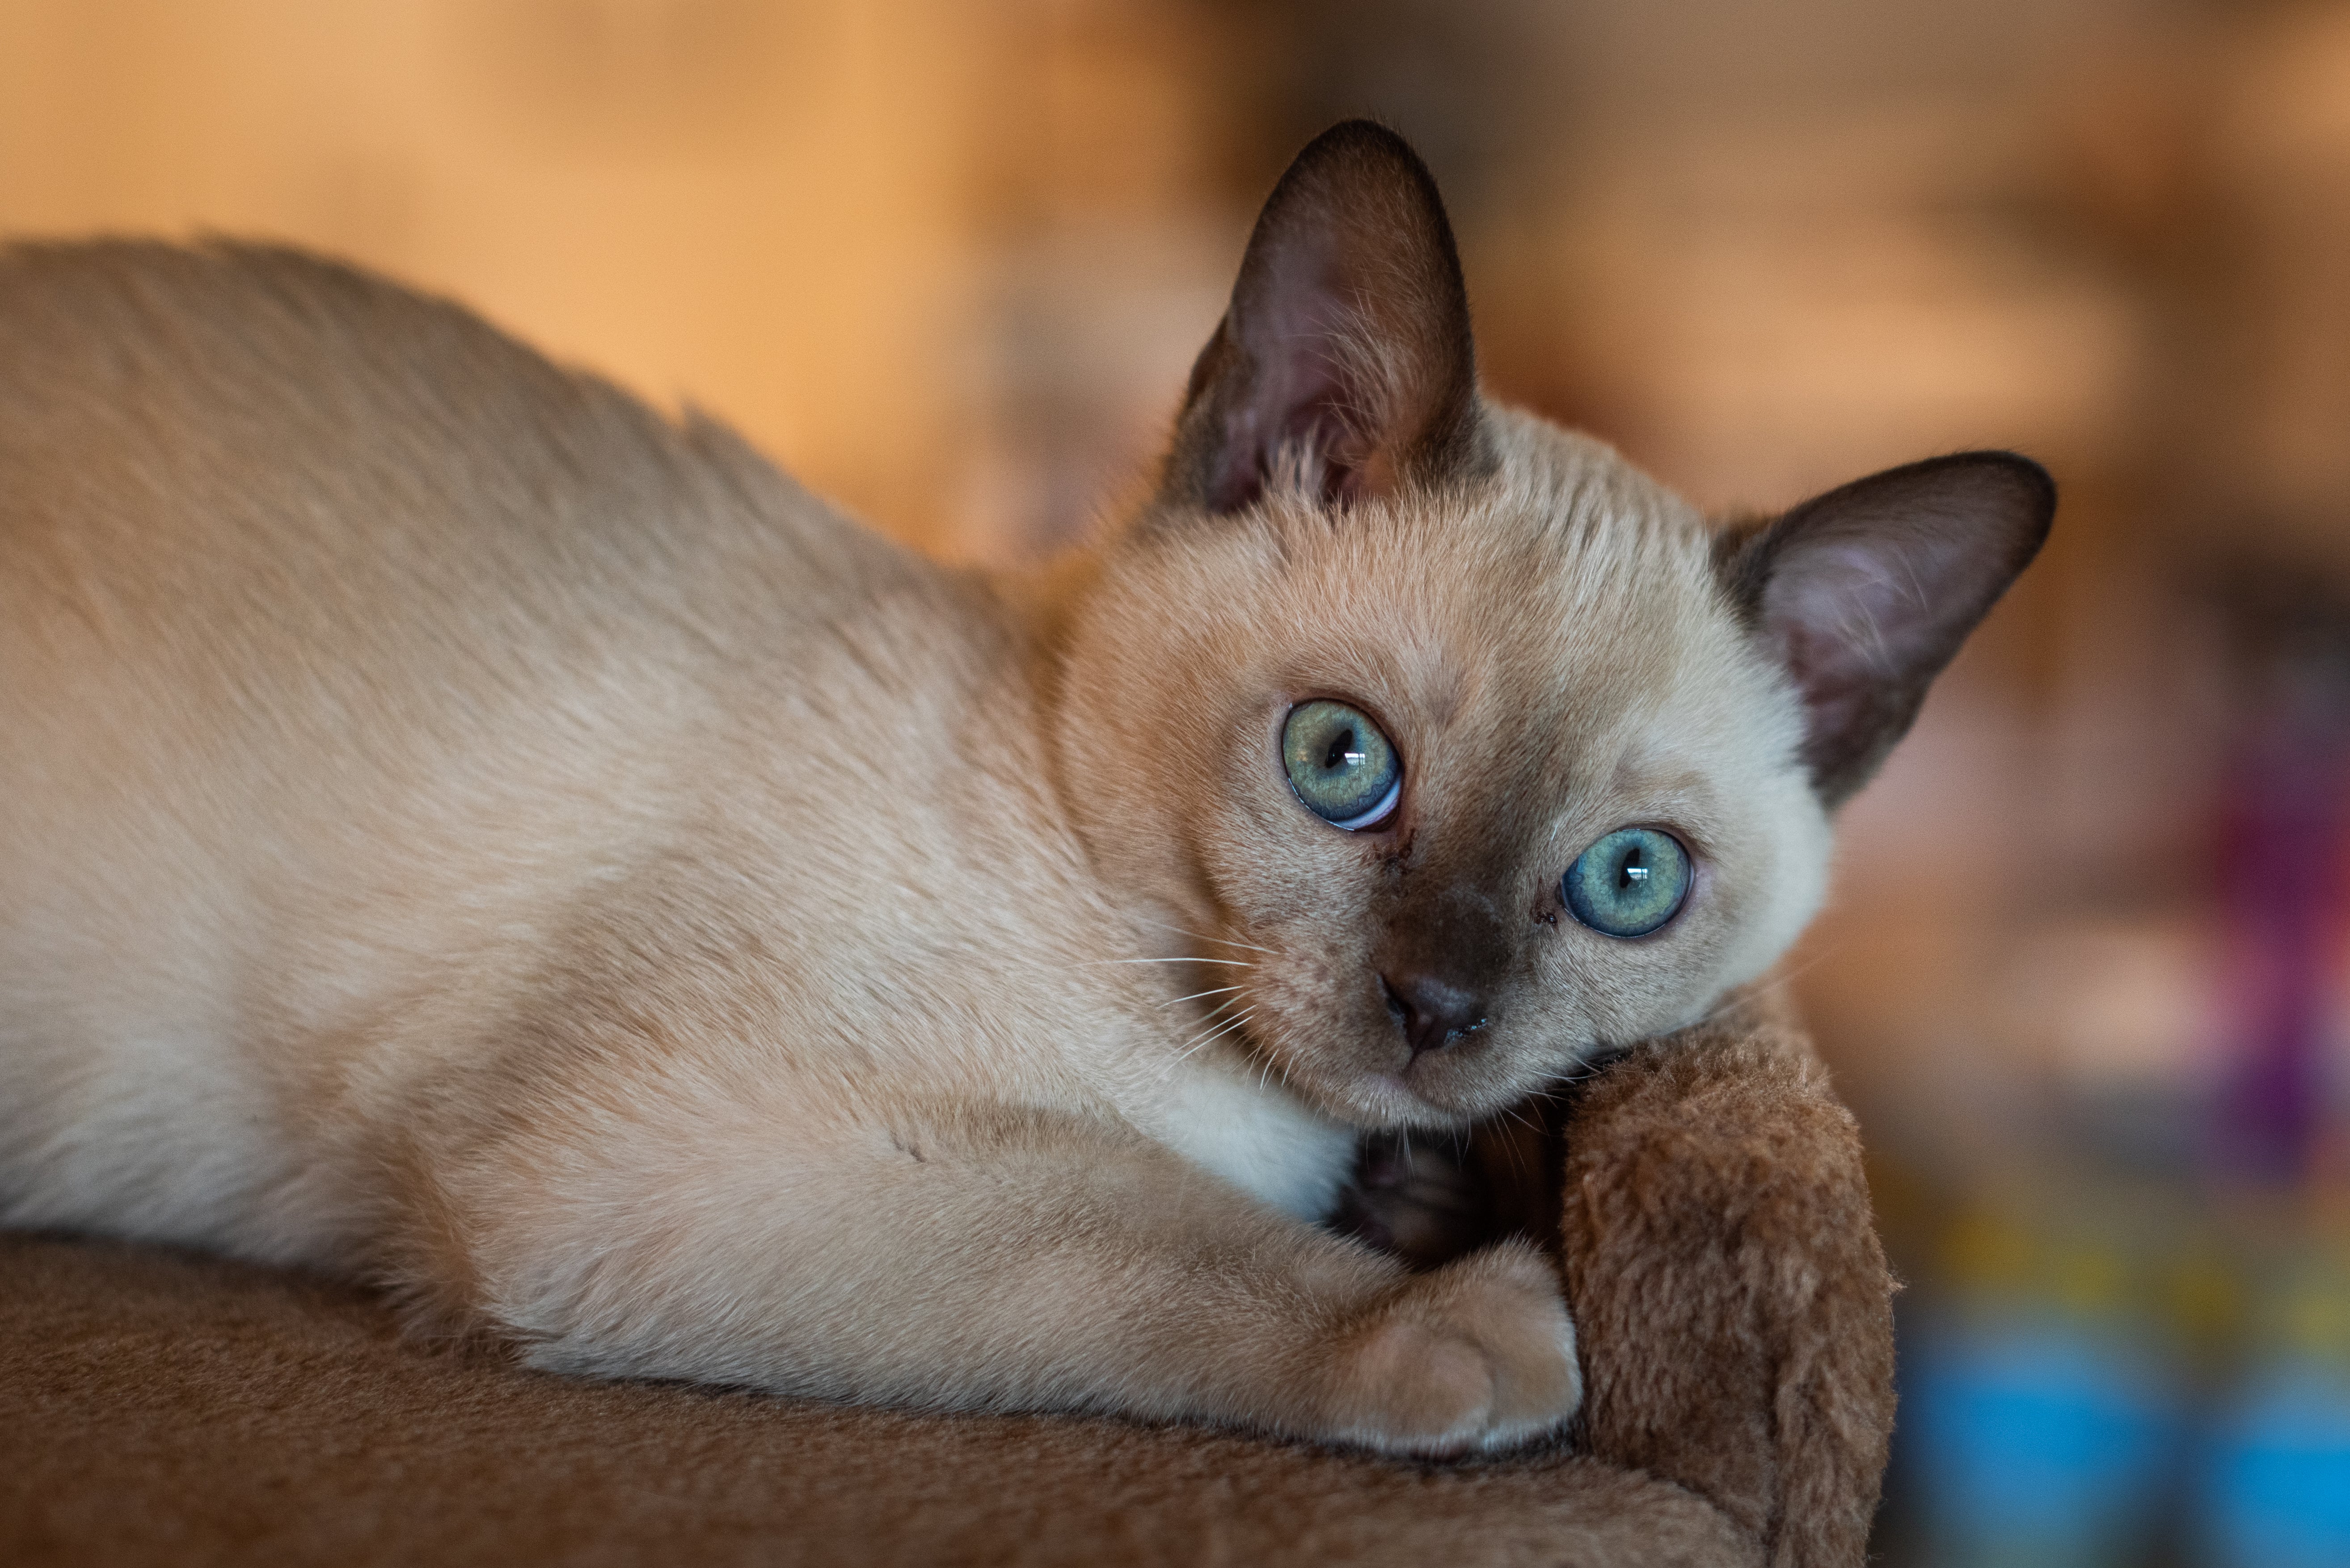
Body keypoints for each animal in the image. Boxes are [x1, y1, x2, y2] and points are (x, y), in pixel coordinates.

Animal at [0, 122, 2049, 1457]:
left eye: (1629, 880)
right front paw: (1461, 1311)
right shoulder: (662, 1157)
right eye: (1340, 762)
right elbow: (1139, 1224)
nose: (1438, 1010)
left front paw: (1423, 1193)